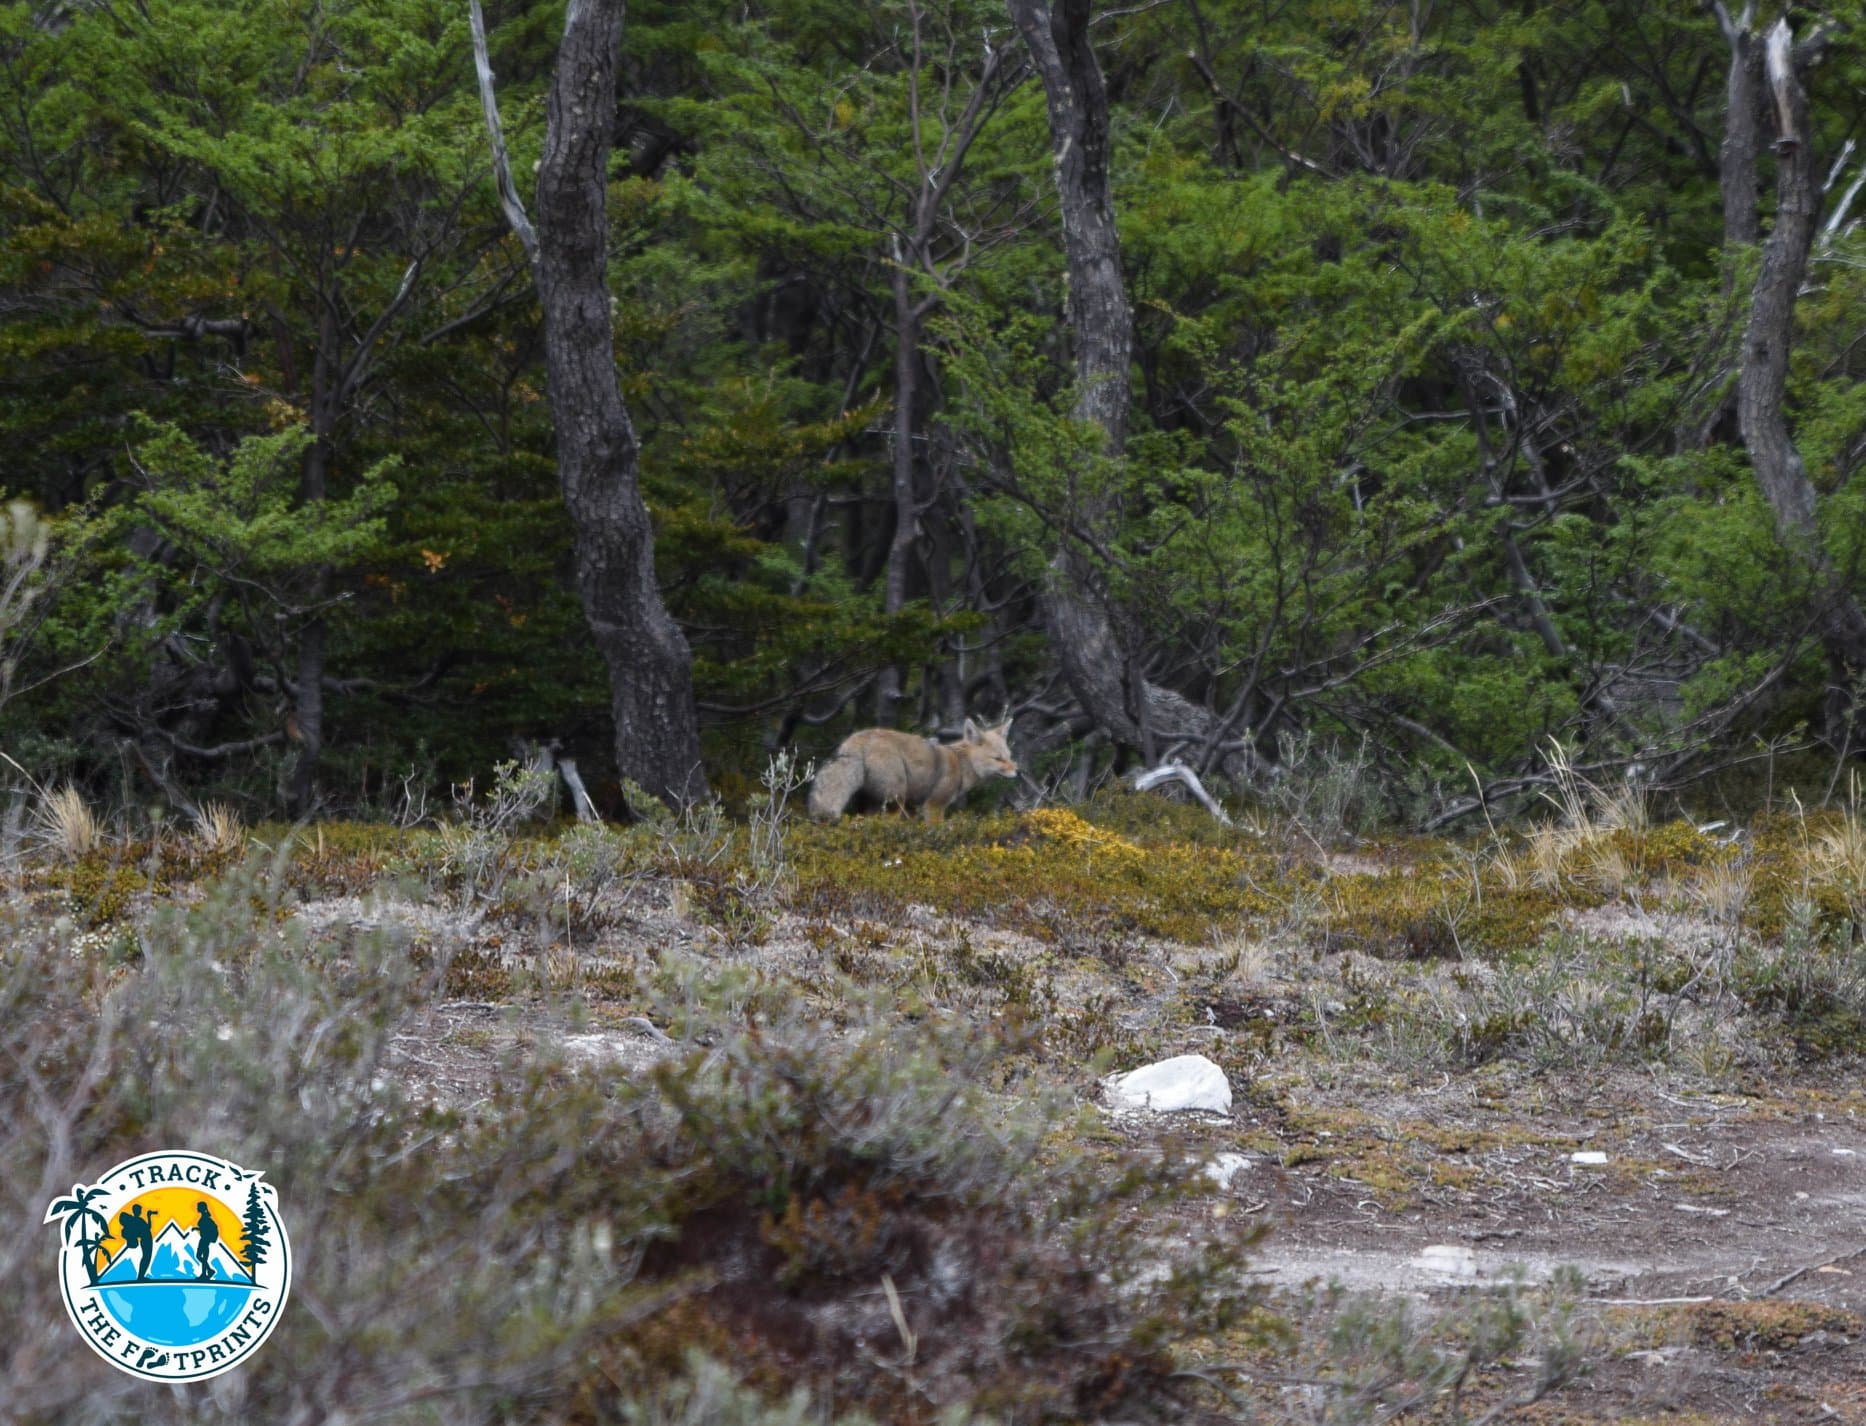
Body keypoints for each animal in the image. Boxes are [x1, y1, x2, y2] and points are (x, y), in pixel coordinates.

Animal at [808, 717, 1017, 823]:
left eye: (1009, 756)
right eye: (998, 759)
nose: (1017, 772)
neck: (960, 762)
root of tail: (858, 739)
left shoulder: (915, 807)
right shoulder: (934, 806)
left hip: (872, 804)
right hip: (895, 801)